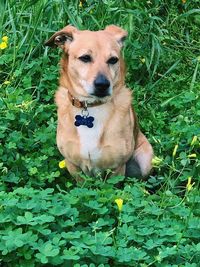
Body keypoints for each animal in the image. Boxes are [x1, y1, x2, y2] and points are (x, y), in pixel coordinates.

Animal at [45, 25, 153, 181]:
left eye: (113, 60)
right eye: (85, 58)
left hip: (146, 161)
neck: (91, 107)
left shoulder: (117, 168)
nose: (102, 84)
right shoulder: (73, 165)